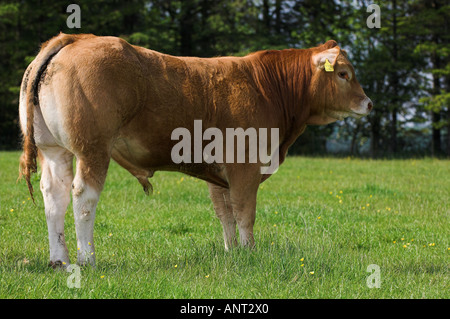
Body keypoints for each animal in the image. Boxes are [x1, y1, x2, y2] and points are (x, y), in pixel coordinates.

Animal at [19, 33, 370, 268]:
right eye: (344, 74)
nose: (368, 103)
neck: (266, 88)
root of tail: (78, 38)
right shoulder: (245, 165)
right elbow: (245, 212)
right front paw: (250, 252)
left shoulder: (219, 173)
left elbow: (225, 213)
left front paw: (233, 252)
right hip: (92, 149)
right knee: (83, 198)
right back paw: (86, 259)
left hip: (54, 150)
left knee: (54, 196)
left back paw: (59, 260)